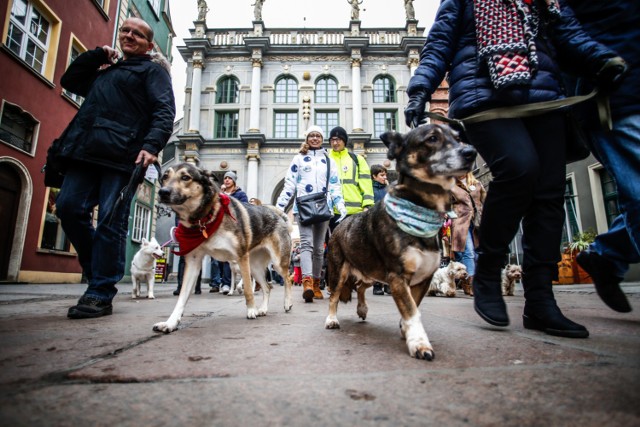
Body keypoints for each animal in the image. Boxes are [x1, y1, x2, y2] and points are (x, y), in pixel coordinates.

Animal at [152, 162, 292, 332]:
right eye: (165, 177)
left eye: (185, 177)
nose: (163, 192)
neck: (205, 219)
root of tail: (278, 215)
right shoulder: (193, 261)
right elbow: (182, 297)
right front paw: (171, 322)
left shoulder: (241, 257)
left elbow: (247, 289)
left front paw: (251, 310)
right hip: (255, 266)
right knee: (266, 287)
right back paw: (263, 309)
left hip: (277, 263)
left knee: (287, 279)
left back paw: (287, 303)